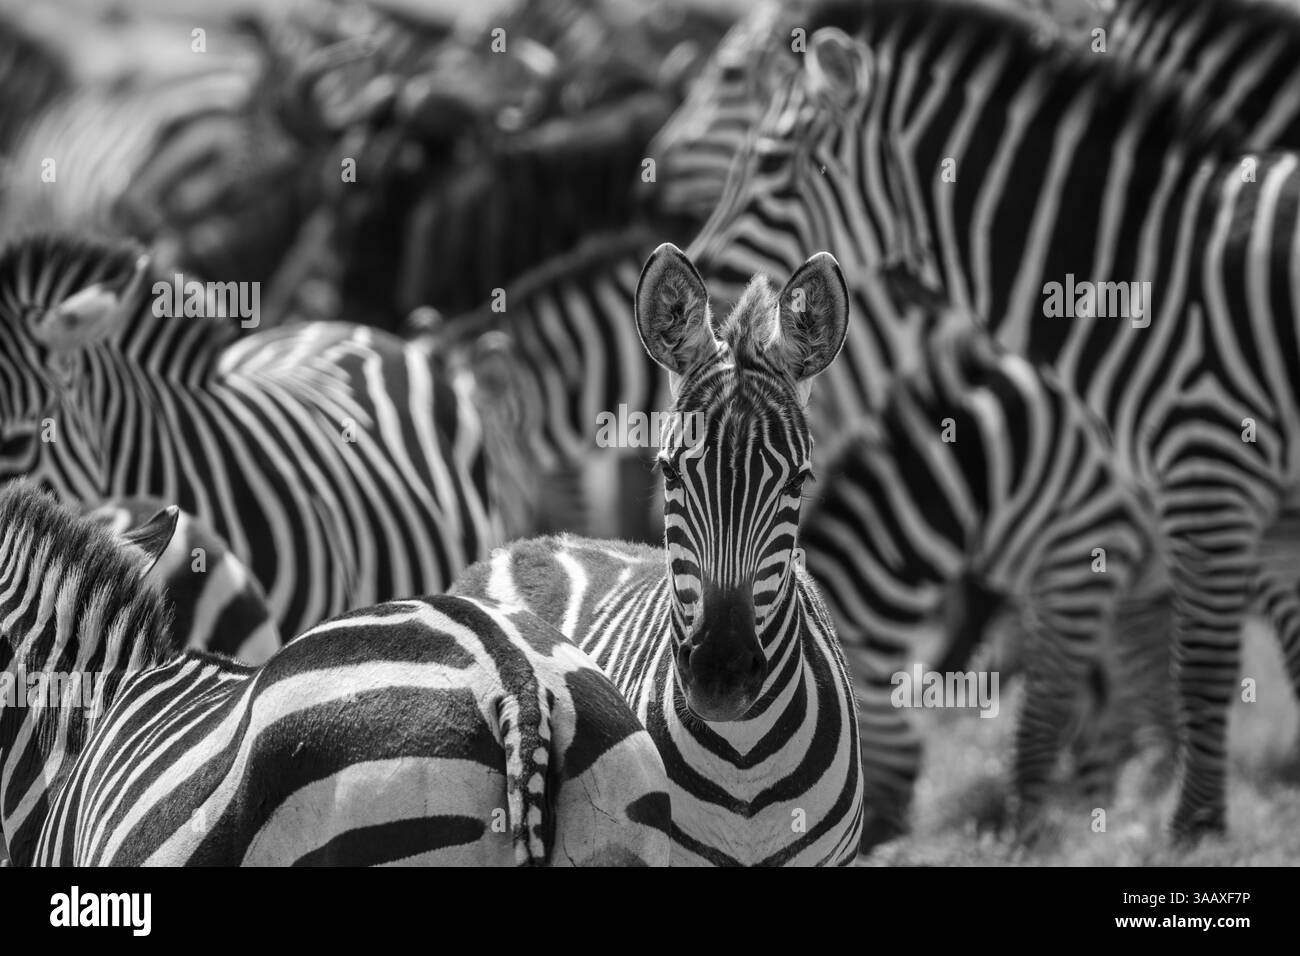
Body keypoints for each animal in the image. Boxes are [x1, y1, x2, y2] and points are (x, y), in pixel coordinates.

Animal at [679, 0, 1300, 839]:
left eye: (774, 164)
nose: (698, 284)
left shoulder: (1172, 499)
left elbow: (1105, 691)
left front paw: (1134, 831)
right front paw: (1111, 804)